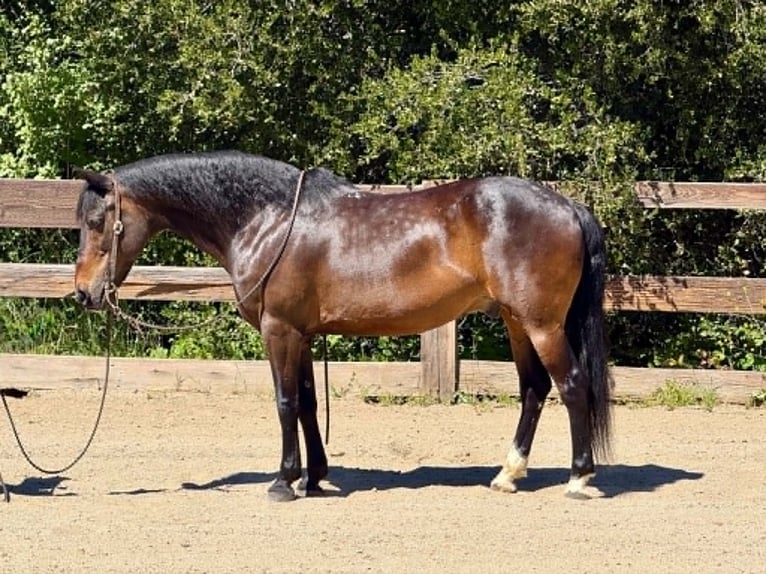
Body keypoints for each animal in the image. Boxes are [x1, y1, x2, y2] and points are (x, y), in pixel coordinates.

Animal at [73, 150, 613, 501]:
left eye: (97, 222)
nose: (83, 293)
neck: (267, 221)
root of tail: (567, 206)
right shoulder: (304, 335)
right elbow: (308, 403)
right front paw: (313, 477)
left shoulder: (279, 330)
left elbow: (285, 401)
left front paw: (282, 481)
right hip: (518, 322)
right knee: (533, 390)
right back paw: (508, 474)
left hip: (542, 325)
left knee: (571, 385)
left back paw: (579, 478)